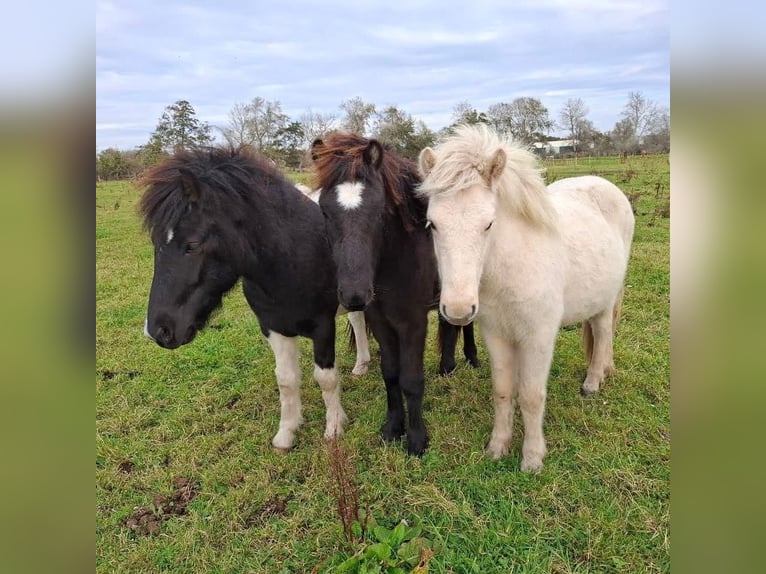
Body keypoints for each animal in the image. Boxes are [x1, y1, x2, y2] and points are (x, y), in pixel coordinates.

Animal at [139, 146, 348, 451]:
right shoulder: (274, 327)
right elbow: (286, 380)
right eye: (155, 243)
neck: (294, 256)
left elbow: (326, 379)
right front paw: (287, 433)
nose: (158, 331)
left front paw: (334, 428)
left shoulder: (323, 326)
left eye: (192, 245)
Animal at [310, 132, 479, 455]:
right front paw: (392, 428)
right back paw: (446, 367)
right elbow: (390, 374)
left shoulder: (413, 323)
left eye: (379, 210)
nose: (354, 295)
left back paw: (472, 359)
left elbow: (411, 379)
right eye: (323, 211)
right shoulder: (380, 321)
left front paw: (416, 439)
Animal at [417, 124, 634, 472]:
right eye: (432, 223)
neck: (512, 268)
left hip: (607, 299)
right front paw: (498, 446)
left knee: (602, 333)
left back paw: (592, 381)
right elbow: (504, 391)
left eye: (488, 224)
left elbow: (532, 396)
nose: (459, 309)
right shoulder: (497, 335)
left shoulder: (538, 337)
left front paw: (532, 459)